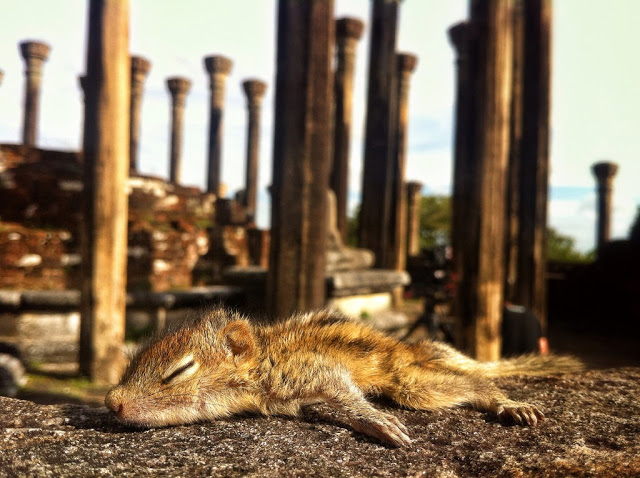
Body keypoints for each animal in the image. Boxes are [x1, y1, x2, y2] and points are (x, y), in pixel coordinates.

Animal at [102, 308, 584, 446]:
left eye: (178, 371)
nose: (112, 401)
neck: (264, 363)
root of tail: (409, 348)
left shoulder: (317, 373)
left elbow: (348, 396)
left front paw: (378, 422)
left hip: (410, 383)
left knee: (476, 384)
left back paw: (509, 403)